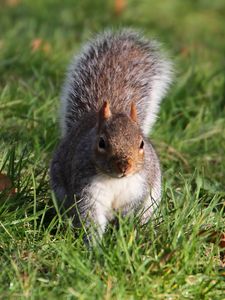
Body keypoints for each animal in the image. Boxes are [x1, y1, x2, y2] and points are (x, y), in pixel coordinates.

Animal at [49, 28, 172, 244]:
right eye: (102, 142)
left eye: (142, 143)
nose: (124, 166)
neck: (116, 180)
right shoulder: (87, 191)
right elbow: (90, 218)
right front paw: (94, 246)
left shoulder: (139, 188)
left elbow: (131, 211)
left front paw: (125, 233)